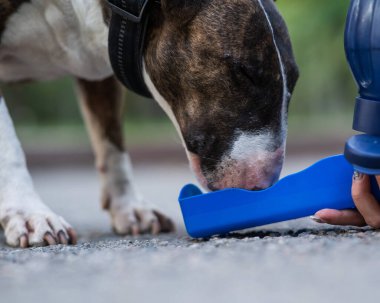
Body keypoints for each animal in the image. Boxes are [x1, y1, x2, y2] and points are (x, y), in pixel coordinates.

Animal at [0, 0, 298, 248]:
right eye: (245, 72)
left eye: (293, 83)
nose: (266, 184)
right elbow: (9, 146)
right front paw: (30, 214)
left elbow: (112, 142)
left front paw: (130, 208)